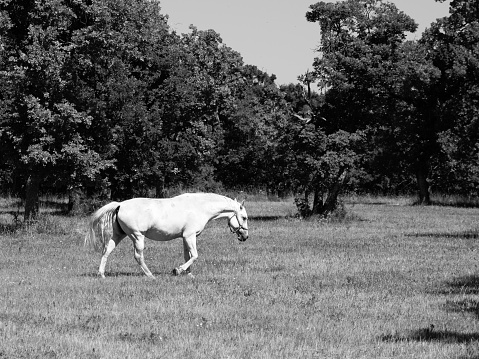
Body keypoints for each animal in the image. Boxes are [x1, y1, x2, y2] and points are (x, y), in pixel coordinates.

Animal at [84, 194, 249, 278]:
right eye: (244, 217)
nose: (245, 236)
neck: (199, 207)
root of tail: (120, 205)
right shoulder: (190, 236)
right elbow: (195, 255)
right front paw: (178, 270)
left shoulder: (185, 237)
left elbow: (188, 255)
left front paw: (189, 275)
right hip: (137, 236)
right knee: (138, 256)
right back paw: (150, 275)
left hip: (118, 235)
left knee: (106, 252)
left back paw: (101, 274)